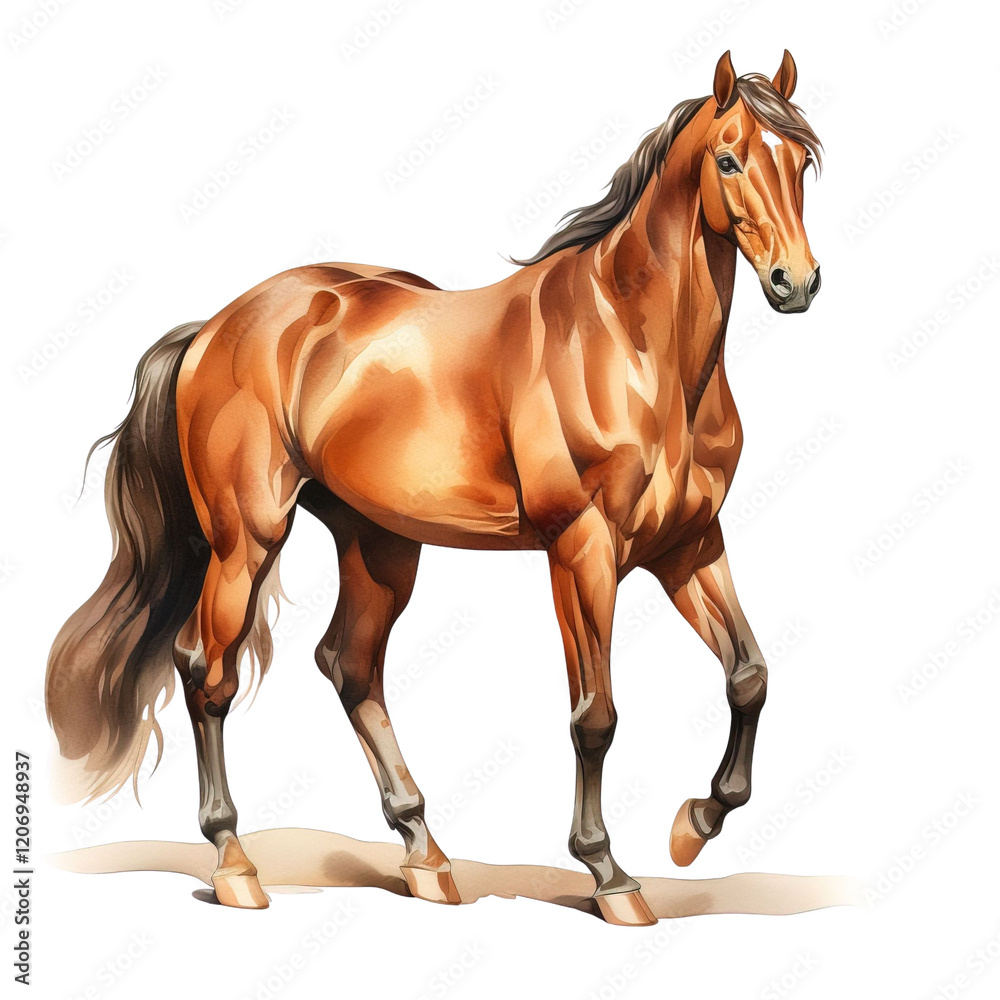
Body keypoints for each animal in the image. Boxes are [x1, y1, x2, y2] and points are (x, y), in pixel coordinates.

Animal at [46, 49, 823, 925]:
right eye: (728, 159)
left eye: (801, 161)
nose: (797, 282)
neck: (633, 348)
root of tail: (213, 330)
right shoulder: (582, 550)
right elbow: (595, 716)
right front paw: (609, 874)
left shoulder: (688, 545)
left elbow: (749, 676)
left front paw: (694, 825)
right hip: (247, 538)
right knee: (205, 670)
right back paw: (236, 865)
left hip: (378, 542)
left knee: (349, 665)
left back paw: (424, 854)